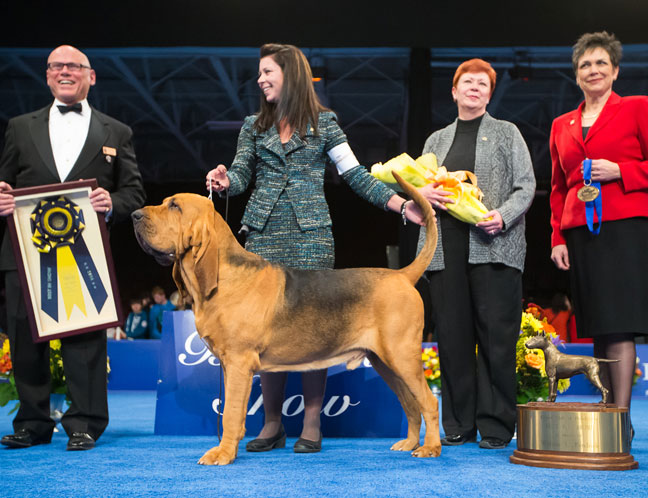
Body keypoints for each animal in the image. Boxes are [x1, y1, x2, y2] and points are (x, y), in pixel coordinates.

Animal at [134, 173, 442, 464]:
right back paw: (409, 443)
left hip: (402, 357)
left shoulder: (238, 362)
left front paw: (222, 454)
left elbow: (230, 414)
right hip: (384, 362)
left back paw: (430, 448)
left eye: (175, 206)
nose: (134, 216)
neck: (223, 275)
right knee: (411, 404)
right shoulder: (230, 365)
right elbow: (234, 411)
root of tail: (402, 275)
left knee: (428, 402)